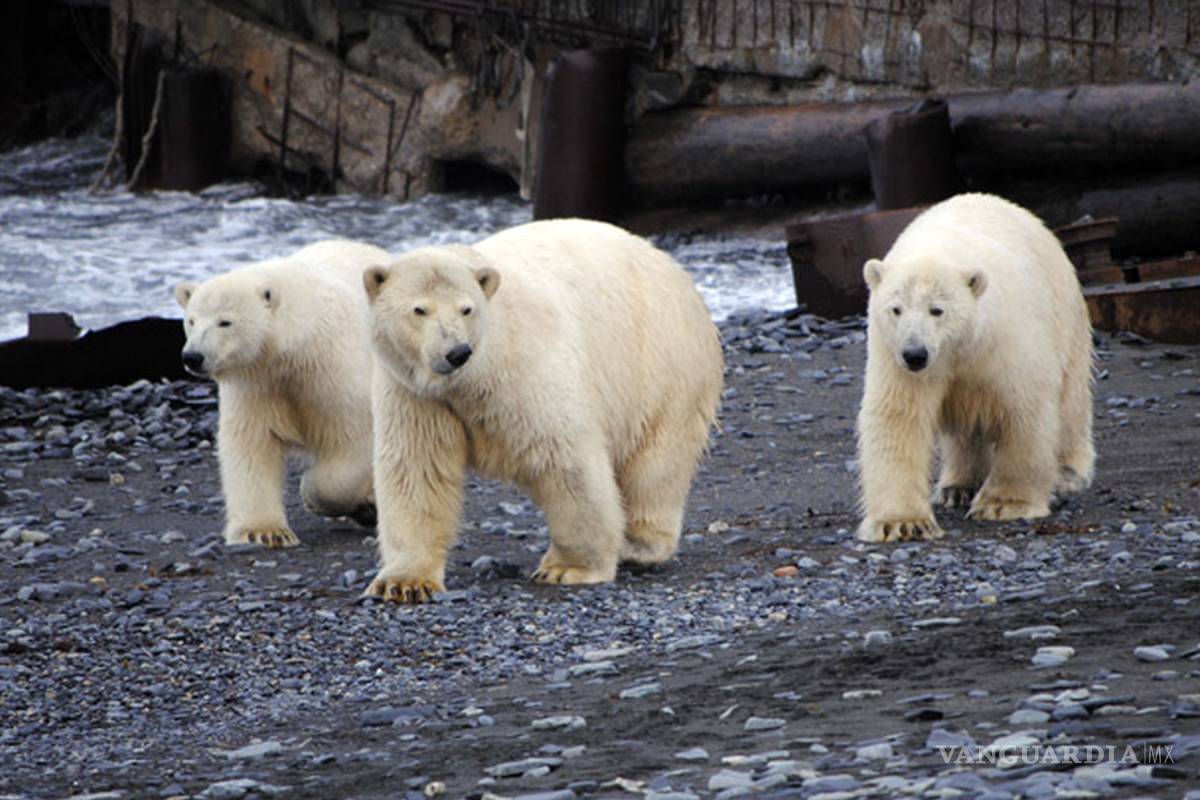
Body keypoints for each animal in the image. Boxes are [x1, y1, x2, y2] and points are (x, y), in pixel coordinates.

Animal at [173, 240, 389, 548]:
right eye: (191, 321)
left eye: (225, 322)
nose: (192, 356)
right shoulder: (257, 383)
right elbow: (251, 444)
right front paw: (265, 532)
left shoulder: (334, 370)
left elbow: (353, 435)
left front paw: (315, 494)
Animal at [361, 219, 724, 603]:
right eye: (419, 310)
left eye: (466, 309)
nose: (456, 352)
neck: (472, 377)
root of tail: (675, 270)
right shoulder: (414, 394)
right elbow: (417, 471)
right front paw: (405, 583)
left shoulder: (525, 369)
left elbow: (564, 458)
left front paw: (567, 568)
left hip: (662, 368)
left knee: (656, 465)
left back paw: (638, 544)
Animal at [856, 193, 1094, 543]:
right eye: (895, 309)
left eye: (937, 310)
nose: (915, 354)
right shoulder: (893, 356)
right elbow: (899, 416)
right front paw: (902, 523)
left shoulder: (1006, 341)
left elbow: (1023, 408)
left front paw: (1004, 504)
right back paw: (957, 486)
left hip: (1066, 313)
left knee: (1071, 400)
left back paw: (1067, 473)